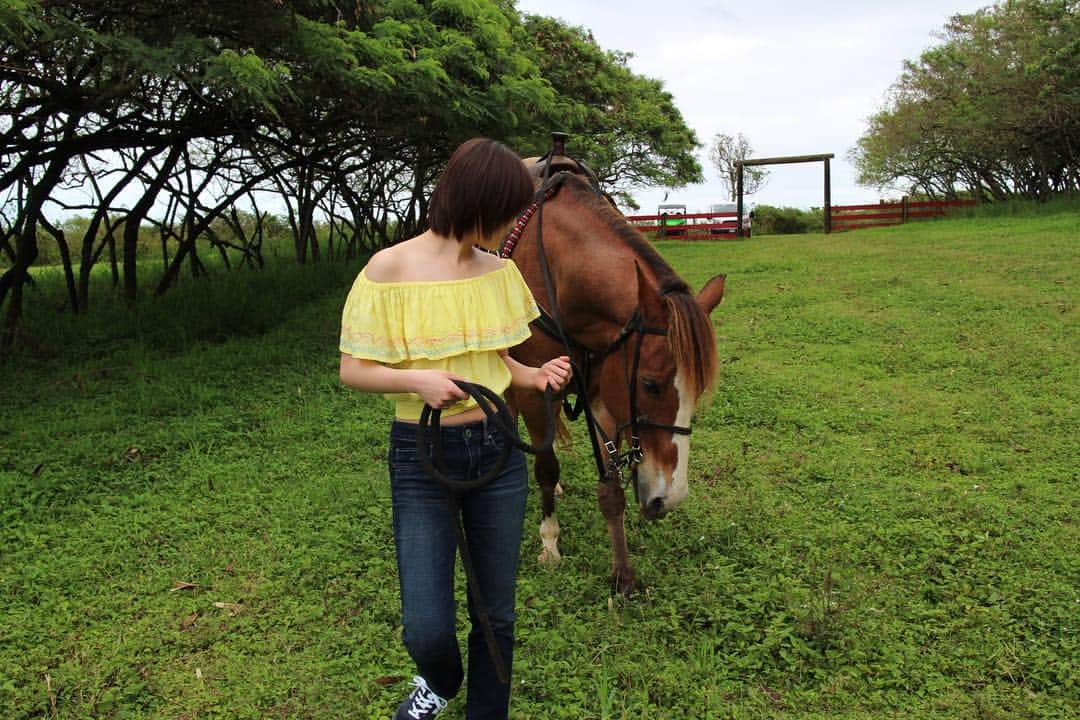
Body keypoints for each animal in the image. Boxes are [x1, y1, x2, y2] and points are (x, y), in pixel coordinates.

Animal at [503, 171, 725, 595]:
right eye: (650, 385)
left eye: (698, 392)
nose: (669, 499)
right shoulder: (536, 391)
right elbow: (546, 467)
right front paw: (550, 543)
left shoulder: (603, 395)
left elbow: (612, 488)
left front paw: (623, 572)